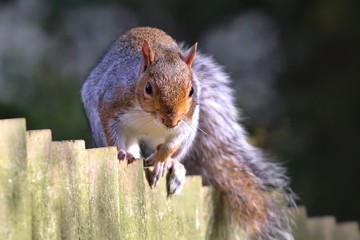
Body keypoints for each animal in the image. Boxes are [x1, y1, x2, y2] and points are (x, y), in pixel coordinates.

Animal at [81, 27, 296, 239]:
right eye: (148, 88)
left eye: (192, 90)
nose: (172, 121)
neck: (151, 117)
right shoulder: (111, 103)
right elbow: (110, 132)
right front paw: (122, 152)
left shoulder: (187, 124)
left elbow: (172, 143)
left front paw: (161, 160)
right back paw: (133, 154)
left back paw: (173, 166)